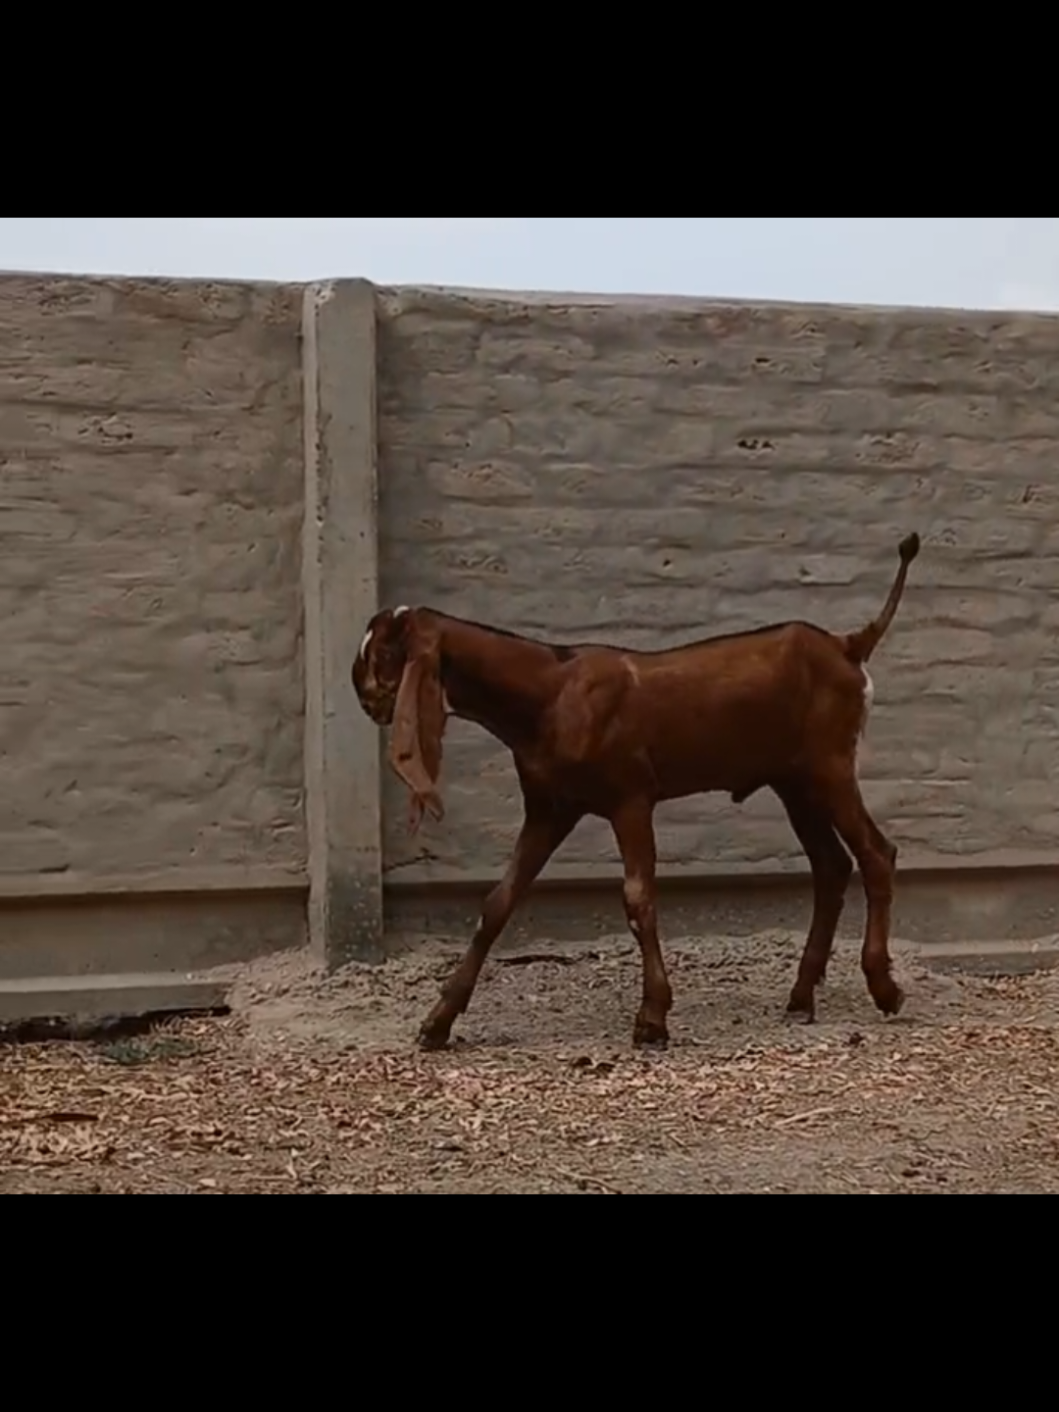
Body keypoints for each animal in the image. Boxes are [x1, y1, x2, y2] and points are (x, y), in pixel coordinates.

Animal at [352, 532, 921, 1052]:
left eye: (387, 652)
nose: (361, 692)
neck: (550, 692)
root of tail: (849, 644)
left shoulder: (629, 800)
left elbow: (637, 897)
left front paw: (652, 1019)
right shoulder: (550, 808)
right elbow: (498, 903)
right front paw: (438, 1021)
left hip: (830, 765)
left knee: (876, 853)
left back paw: (883, 986)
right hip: (795, 781)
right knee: (831, 866)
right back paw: (802, 997)